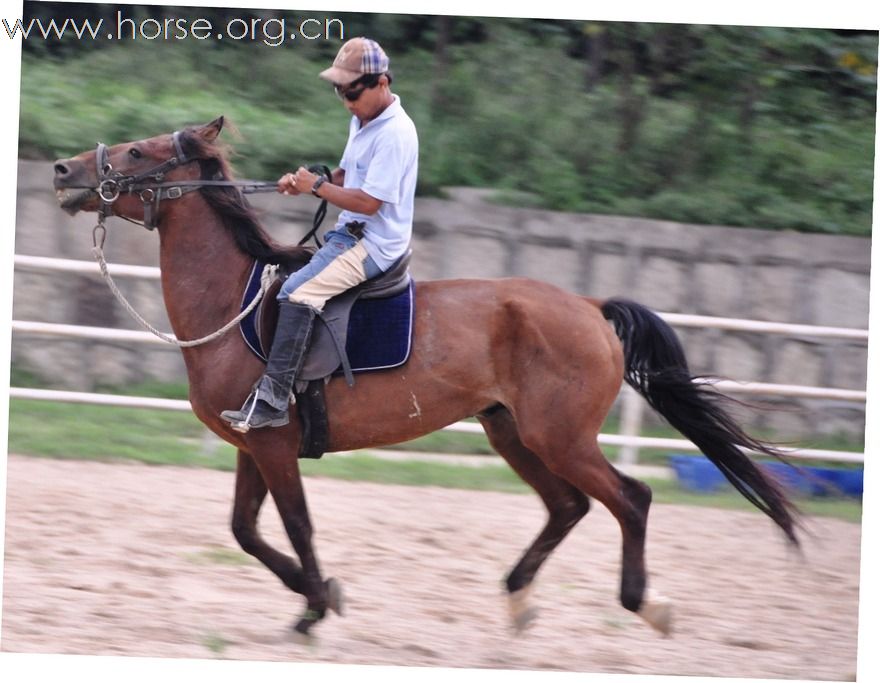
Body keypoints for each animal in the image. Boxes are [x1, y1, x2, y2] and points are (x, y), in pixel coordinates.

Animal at [51, 116, 800, 640]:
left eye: (139, 152)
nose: (62, 169)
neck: (234, 304)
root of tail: (589, 307)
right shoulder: (253, 446)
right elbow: (245, 530)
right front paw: (315, 594)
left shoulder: (273, 446)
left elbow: (295, 524)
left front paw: (317, 603)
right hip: (512, 433)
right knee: (568, 507)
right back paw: (518, 600)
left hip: (559, 436)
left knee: (631, 498)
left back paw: (644, 603)